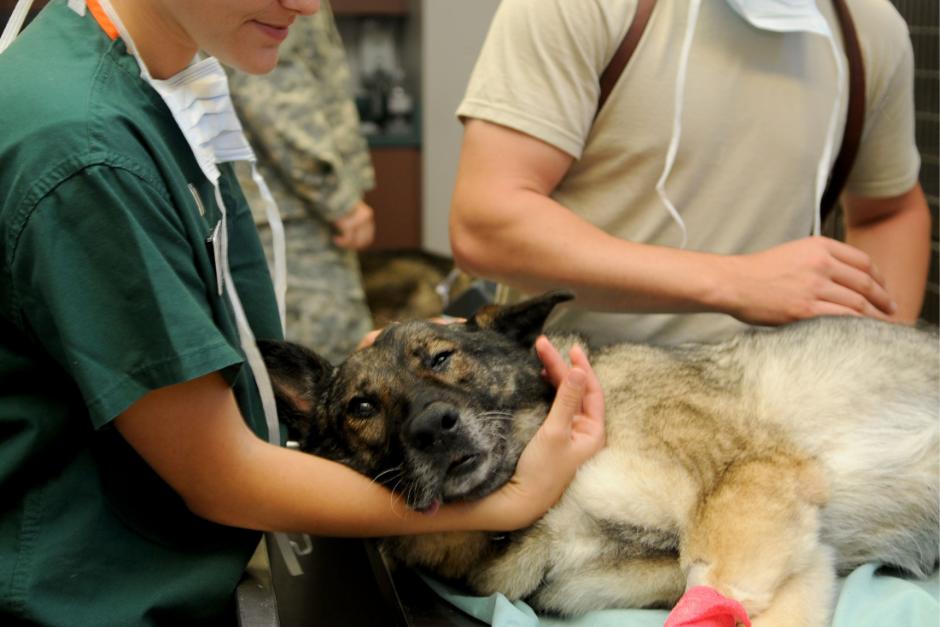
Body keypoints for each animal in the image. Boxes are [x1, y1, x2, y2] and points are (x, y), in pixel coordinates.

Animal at [258, 294, 940, 627]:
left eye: (442, 357)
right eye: (361, 405)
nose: (433, 427)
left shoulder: (746, 484)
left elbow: (718, 584)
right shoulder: (792, 554)